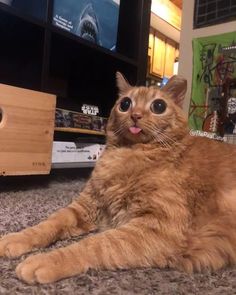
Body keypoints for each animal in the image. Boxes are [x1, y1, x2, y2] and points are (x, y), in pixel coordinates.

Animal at [0, 72, 236, 284]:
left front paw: (46, 260)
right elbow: (47, 225)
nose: (135, 115)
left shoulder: (158, 228)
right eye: (125, 104)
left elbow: (95, 244)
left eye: (158, 106)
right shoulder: (84, 206)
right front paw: (17, 238)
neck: (127, 155)